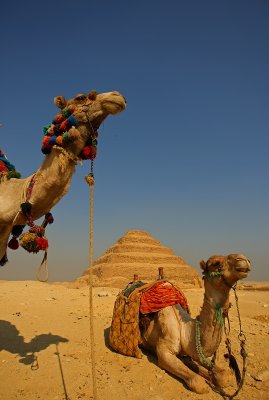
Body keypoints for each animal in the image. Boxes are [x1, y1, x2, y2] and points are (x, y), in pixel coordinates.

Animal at [139, 253, 250, 394]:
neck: (185, 329)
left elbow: (223, 377)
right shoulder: (165, 352)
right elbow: (198, 382)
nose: (243, 259)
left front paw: (215, 376)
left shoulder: (190, 353)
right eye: (216, 263)